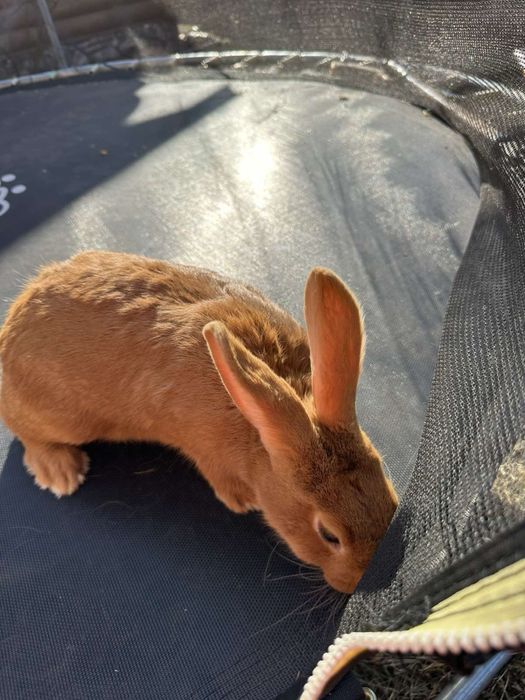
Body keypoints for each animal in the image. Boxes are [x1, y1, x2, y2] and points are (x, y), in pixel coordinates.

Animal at [0, 251, 398, 593]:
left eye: (388, 492)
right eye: (328, 535)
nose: (362, 581)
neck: (260, 440)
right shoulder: (209, 451)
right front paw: (245, 502)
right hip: (58, 418)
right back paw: (60, 472)